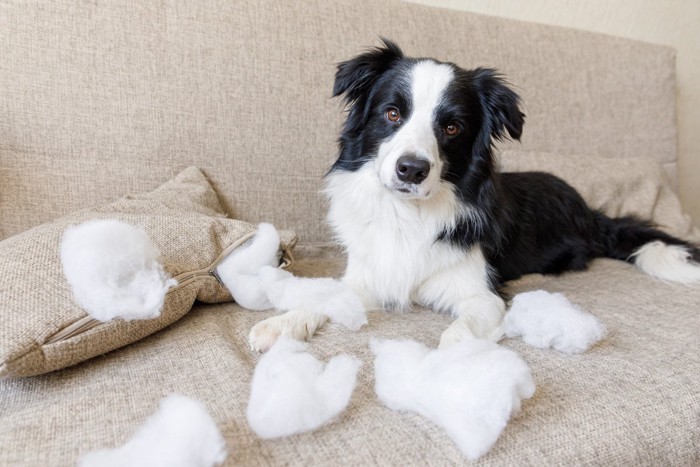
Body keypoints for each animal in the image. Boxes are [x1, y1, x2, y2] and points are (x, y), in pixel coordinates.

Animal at [247, 39, 700, 352]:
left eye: (452, 127)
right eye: (392, 113)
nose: (411, 169)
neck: (409, 213)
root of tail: (589, 211)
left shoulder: (482, 295)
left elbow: (457, 336)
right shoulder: (372, 275)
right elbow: (327, 299)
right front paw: (280, 324)